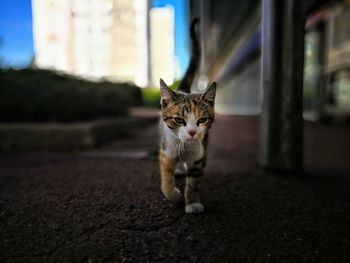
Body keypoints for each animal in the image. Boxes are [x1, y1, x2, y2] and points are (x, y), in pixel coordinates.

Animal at [159, 19, 216, 216]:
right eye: (179, 120)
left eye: (202, 120)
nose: (192, 132)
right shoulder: (166, 150)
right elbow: (166, 179)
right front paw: (174, 195)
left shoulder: (199, 155)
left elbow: (194, 182)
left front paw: (192, 203)